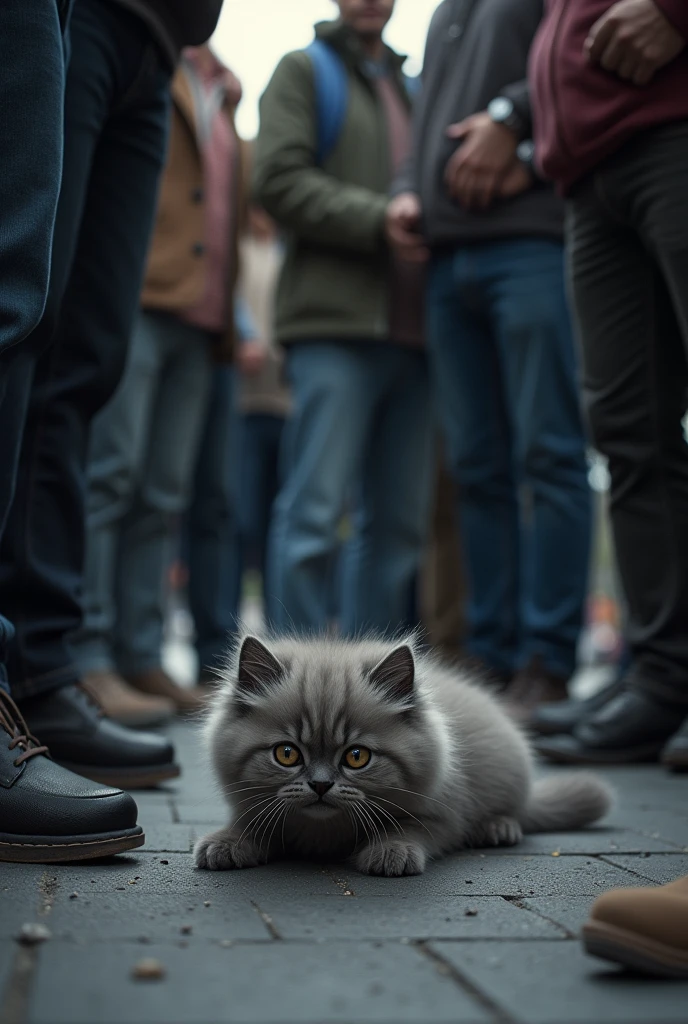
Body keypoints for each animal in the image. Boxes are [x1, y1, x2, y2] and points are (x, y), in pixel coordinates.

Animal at [196, 634, 614, 876]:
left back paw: (497, 828)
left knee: (517, 811)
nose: (320, 785)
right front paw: (227, 841)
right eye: (286, 754)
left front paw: (389, 851)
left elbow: (409, 827)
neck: (324, 830)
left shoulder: (444, 814)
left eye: (356, 757)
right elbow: (252, 822)